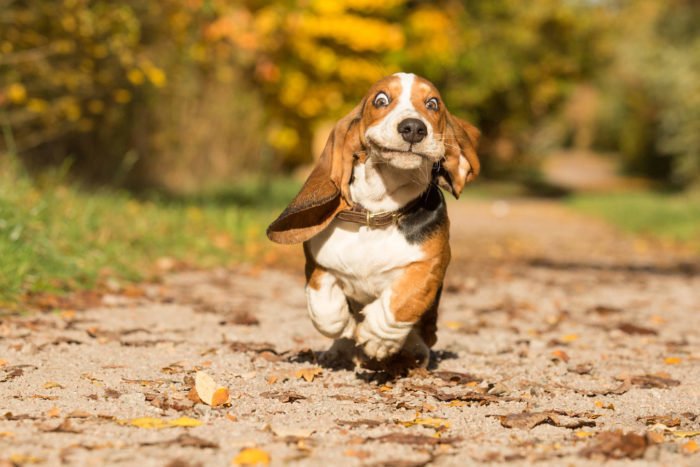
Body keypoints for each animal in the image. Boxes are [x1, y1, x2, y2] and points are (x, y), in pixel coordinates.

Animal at [268, 73, 482, 370]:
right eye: (380, 100)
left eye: (433, 104)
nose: (413, 128)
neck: (377, 213)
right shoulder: (317, 260)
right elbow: (322, 306)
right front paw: (344, 327)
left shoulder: (432, 262)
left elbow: (403, 299)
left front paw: (378, 337)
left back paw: (410, 352)